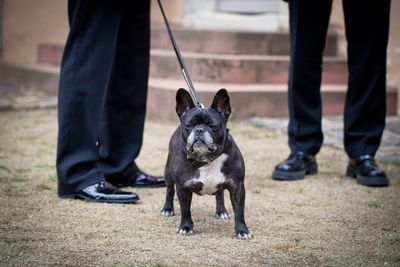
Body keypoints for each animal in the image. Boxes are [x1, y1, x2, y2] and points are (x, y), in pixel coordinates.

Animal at [160, 88, 252, 241]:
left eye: (212, 126)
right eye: (188, 126)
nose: (199, 130)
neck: (205, 159)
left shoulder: (237, 186)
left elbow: (239, 211)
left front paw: (242, 230)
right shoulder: (182, 187)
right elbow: (185, 210)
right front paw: (186, 227)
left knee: (220, 194)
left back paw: (221, 211)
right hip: (168, 174)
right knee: (169, 190)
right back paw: (167, 209)